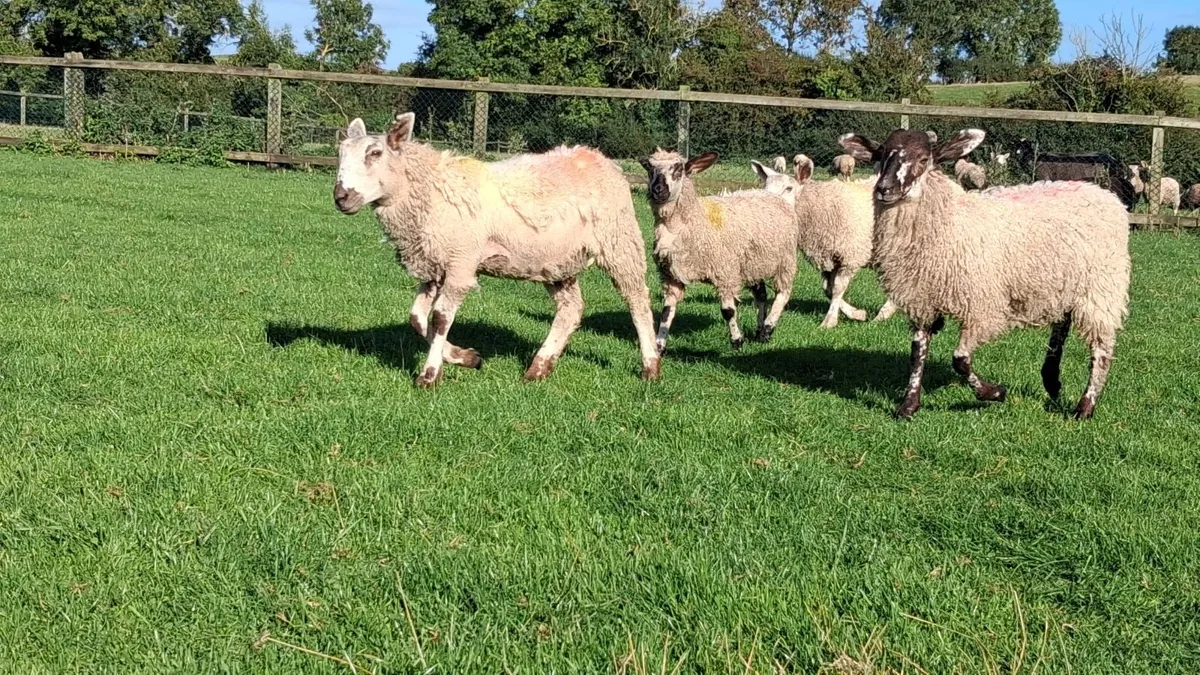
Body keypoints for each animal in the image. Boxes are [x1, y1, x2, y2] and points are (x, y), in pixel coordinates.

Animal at [333, 113, 662, 387]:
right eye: (340, 154)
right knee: (571, 309)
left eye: (375, 153)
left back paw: (650, 366)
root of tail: (599, 157)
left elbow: (440, 318)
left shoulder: (460, 262)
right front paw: (466, 357)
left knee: (637, 301)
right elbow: (416, 317)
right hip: (558, 261)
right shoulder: (433, 263)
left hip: (619, 240)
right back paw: (539, 367)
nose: (341, 197)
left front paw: (429, 375)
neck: (431, 190)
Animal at [640, 149, 799, 353]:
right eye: (649, 168)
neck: (691, 221)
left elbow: (728, 311)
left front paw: (737, 341)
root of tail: (772, 196)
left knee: (783, 293)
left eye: (679, 169)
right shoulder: (671, 276)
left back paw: (768, 327)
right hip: (752, 262)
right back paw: (759, 331)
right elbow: (666, 312)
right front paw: (659, 345)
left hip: (785, 260)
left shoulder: (724, 272)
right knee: (761, 295)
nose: (658, 190)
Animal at [756, 154, 898, 328]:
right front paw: (857, 314)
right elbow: (827, 289)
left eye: (788, 188)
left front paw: (829, 321)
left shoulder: (850, 255)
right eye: (765, 187)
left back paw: (884, 313)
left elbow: (837, 288)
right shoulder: (829, 257)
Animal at [839, 128, 1130, 420]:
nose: (884, 189)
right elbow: (917, 351)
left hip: (1101, 288)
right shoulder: (923, 299)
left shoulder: (981, 305)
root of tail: (1102, 193)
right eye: (880, 155)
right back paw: (1052, 381)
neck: (948, 220)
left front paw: (994, 393)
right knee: (1061, 327)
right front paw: (908, 404)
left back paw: (1085, 406)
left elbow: (960, 360)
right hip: (1063, 284)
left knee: (1101, 348)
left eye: (923, 159)